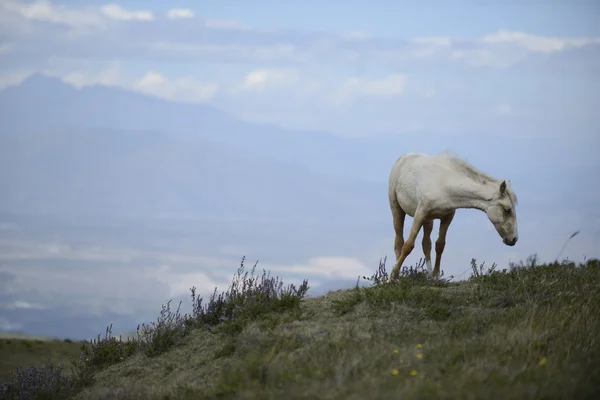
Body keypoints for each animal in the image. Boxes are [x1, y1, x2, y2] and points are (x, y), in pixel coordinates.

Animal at [386, 151, 516, 282]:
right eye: (507, 210)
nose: (514, 239)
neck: (444, 185)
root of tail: (404, 157)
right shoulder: (420, 213)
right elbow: (408, 245)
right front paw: (391, 277)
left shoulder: (447, 217)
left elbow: (440, 245)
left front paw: (435, 276)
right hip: (397, 210)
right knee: (399, 242)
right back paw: (397, 277)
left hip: (428, 221)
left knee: (426, 244)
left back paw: (428, 276)